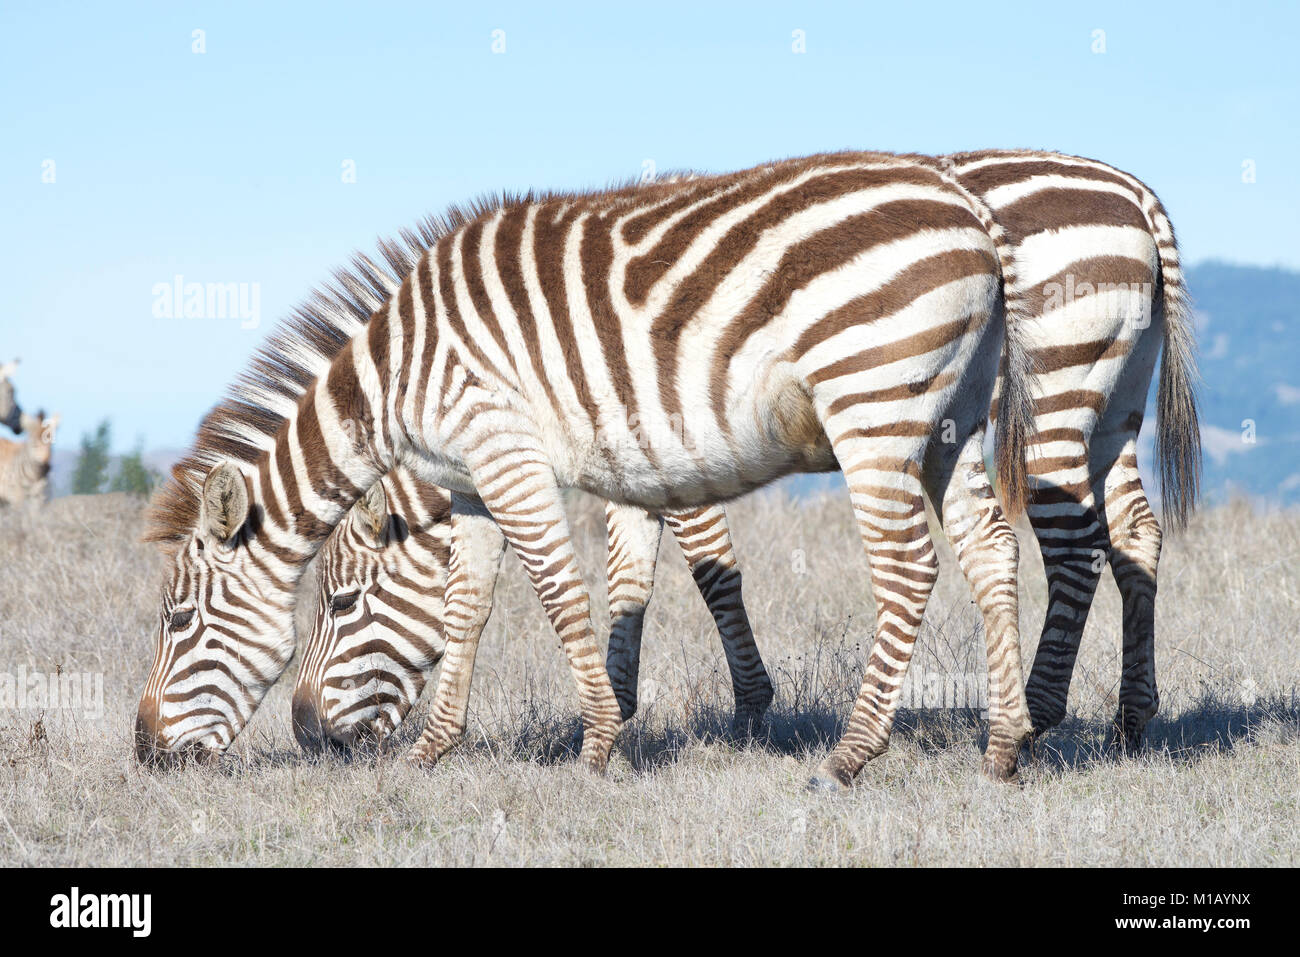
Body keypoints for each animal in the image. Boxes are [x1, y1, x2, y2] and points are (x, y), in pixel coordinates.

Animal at [290, 473, 769, 751]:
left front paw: (750, 711)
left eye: (342, 602)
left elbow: (711, 566)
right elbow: (626, 580)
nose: (306, 735)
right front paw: (614, 707)